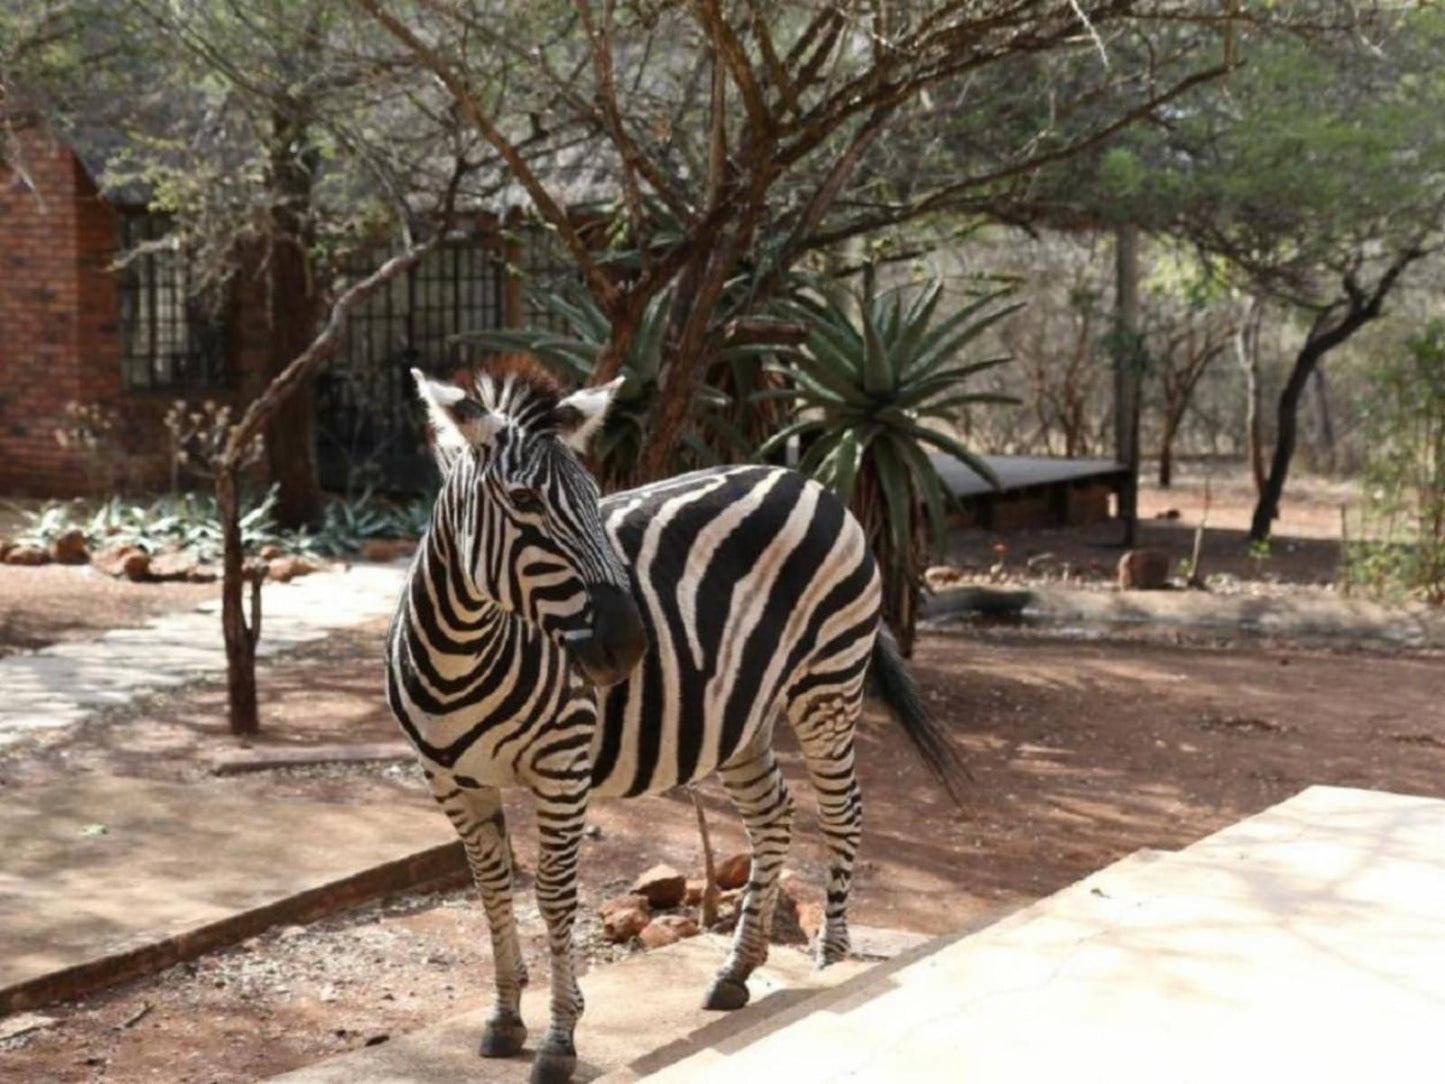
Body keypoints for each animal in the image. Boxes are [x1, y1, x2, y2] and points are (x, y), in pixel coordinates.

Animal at [390, 362, 965, 1084]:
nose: (628, 644)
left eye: (594, 498)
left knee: (842, 813)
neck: (459, 653)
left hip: (828, 682)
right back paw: (735, 972)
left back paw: (831, 963)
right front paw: (503, 1018)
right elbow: (491, 889)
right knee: (774, 814)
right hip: (740, 714)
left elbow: (554, 895)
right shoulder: (449, 780)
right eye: (522, 501)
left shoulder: (563, 768)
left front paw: (559, 1039)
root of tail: (805, 480)